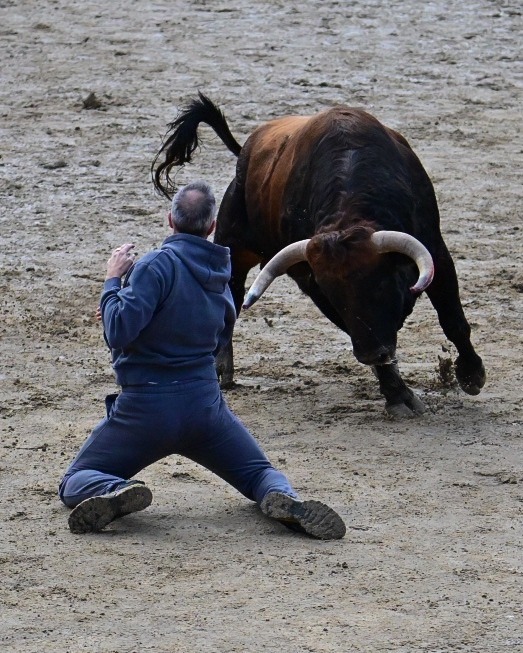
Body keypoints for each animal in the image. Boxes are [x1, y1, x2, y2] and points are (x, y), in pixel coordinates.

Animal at [152, 93, 486, 417]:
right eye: (334, 295)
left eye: (381, 285)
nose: (370, 353)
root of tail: (245, 151)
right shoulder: (315, 285)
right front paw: (398, 395)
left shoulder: (435, 250)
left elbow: (452, 319)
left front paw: (471, 374)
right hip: (233, 245)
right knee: (230, 294)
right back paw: (222, 368)